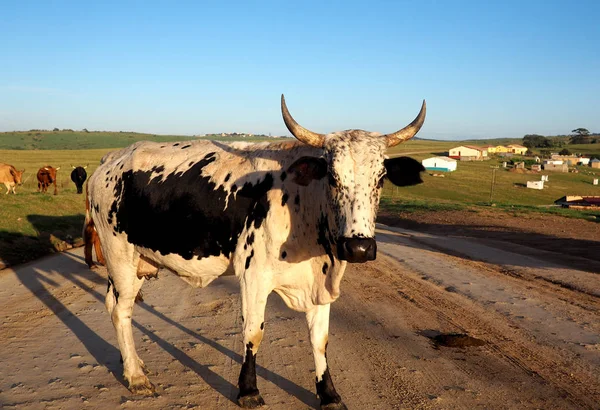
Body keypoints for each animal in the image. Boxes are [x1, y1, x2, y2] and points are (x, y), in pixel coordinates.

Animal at [86, 95, 426, 406]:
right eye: (332, 177)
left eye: (380, 179)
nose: (358, 247)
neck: (301, 201)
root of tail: (110, 160)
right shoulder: (254, 276)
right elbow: (253, 332)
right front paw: (249, 390)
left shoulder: (319, 281)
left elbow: (320, 340)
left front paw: (329, 393)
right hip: (119, 256)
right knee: (121, 311)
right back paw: (135, 376)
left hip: (136, 262)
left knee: (114, 304)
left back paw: (132, 362)